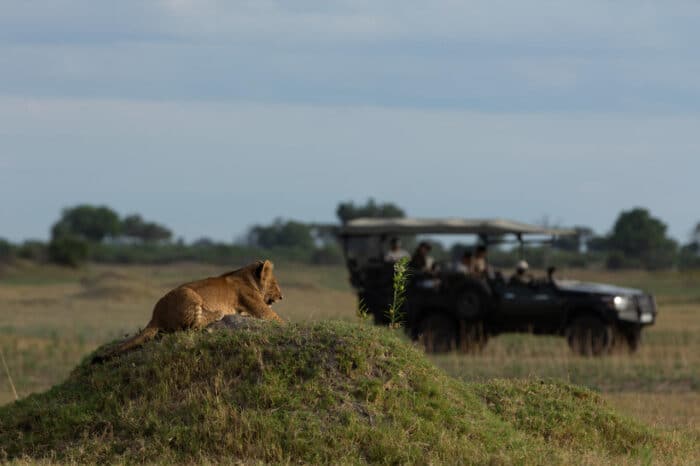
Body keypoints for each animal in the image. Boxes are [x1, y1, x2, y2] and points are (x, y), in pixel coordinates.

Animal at [93, 258, 284, 364]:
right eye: (275, 284)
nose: (282, 297)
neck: (247, 276)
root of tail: (156, 315)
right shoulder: (260, 309)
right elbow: (279, 319)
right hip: (189, 293)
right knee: (194, 326)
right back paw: (217, 313)